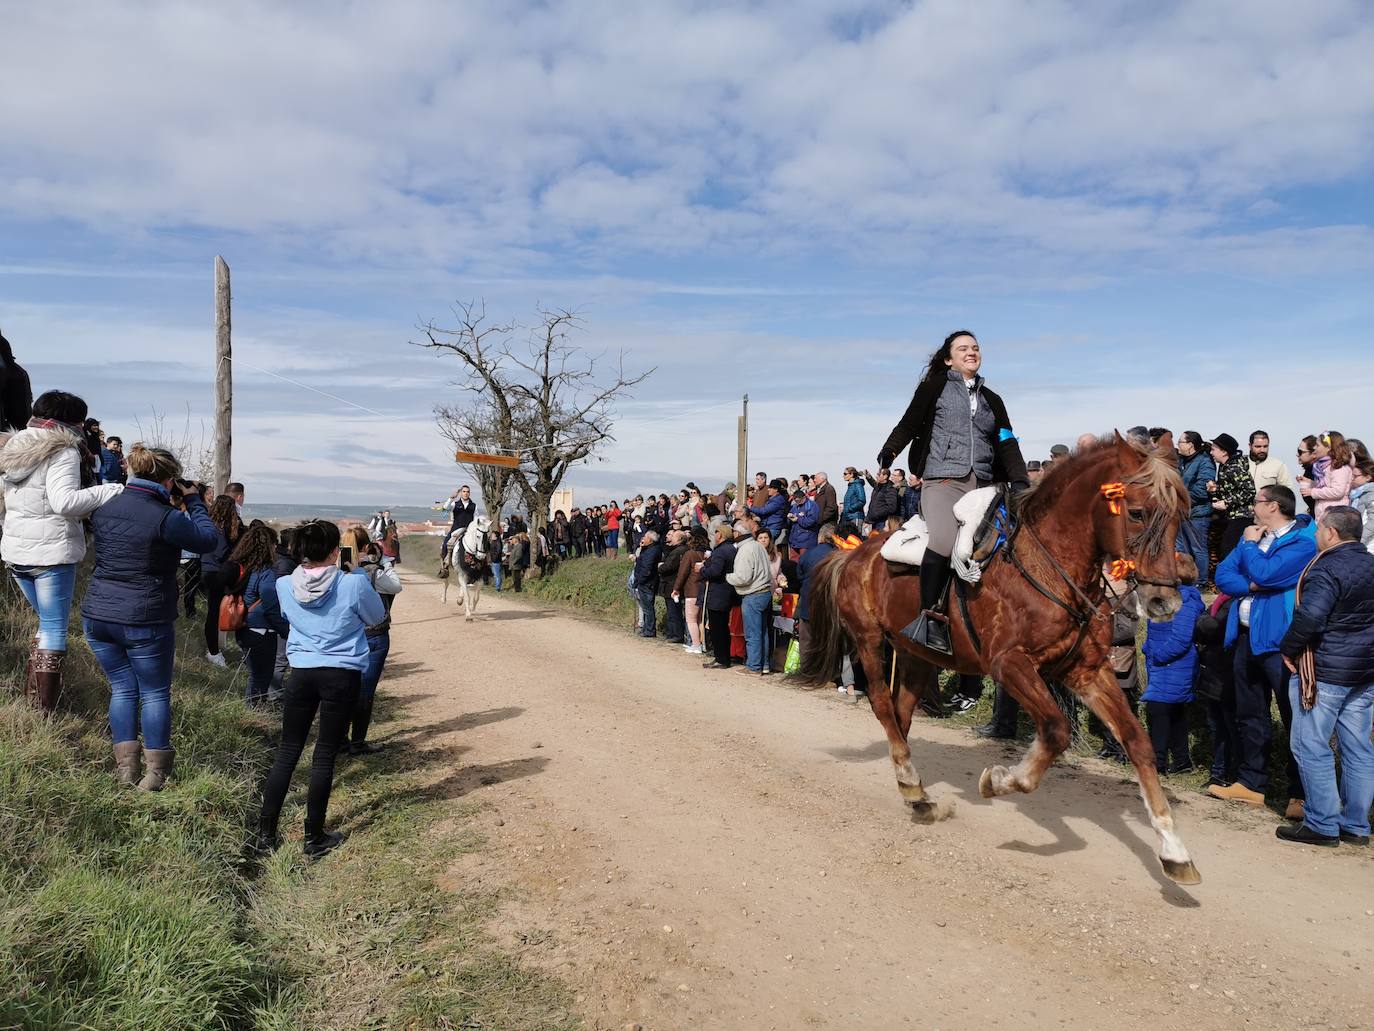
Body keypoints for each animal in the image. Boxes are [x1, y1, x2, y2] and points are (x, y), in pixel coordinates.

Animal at [802, 431, 1198, 885]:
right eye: (1136, 512)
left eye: (1180, 515)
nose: (1163, 601)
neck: (1049, 566)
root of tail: (852, 554)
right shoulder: (1009, 664)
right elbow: (1056, 731)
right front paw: (1002, 780)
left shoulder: (1086, 670)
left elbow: (1136, 740)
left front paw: (1173, 849)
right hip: (868, 640)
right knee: (884, 707)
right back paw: (910, 779)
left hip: (916, 655)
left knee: (901, 715)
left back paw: (914, 790)